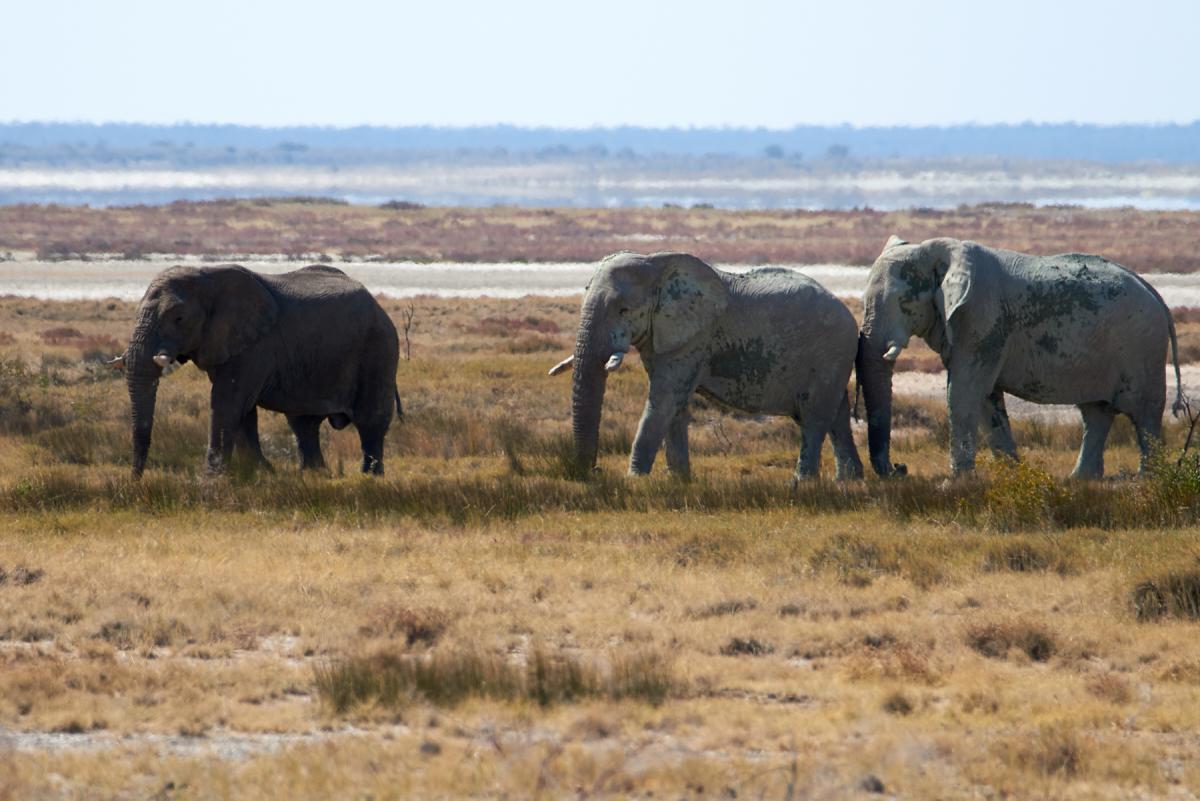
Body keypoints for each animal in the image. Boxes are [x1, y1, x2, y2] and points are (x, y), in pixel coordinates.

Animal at [114, 264, 402, 478]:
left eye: (179, 319)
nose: (136, 479)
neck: (208, 275)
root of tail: (377, 304)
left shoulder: (256, 345)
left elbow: (228, 402)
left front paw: (211, 479)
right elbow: (242, 411)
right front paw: (260, 473)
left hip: (379, 347)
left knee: (370, 419)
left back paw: (370, 477)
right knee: (303, 423)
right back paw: (313, 474)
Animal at [548, 251, 864, 481]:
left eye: (623, 310)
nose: (595, 470)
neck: (656, 264)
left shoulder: (694, 337)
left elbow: (664, 400)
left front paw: (635, 480)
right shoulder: (664, 337)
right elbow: (674, 405)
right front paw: (678, 481)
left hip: (830, 354)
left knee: (814, 417)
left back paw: (801, 483)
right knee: (836, 416)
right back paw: (848, 481)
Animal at [857, 236, 1182, 478]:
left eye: (903, 301)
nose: (900, 467)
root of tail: (1156, 295)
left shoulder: (981, 318)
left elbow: (963, 393)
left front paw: (957, 482)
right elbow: (985, 399)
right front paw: (1012, 475)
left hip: (1143, 347)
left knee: (1144, 414)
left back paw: (1148, 479)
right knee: (1096, 413)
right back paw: (1080, 480)